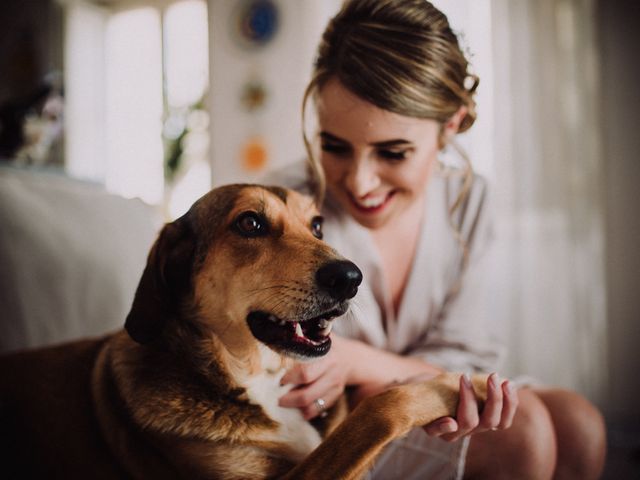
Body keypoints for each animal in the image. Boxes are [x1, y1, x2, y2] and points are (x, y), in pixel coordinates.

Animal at [0, 185, 488, 480]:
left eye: (317, 226)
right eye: (250, 223)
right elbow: (380, 411)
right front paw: (454, 385)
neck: (256, 377)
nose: (351, 277)